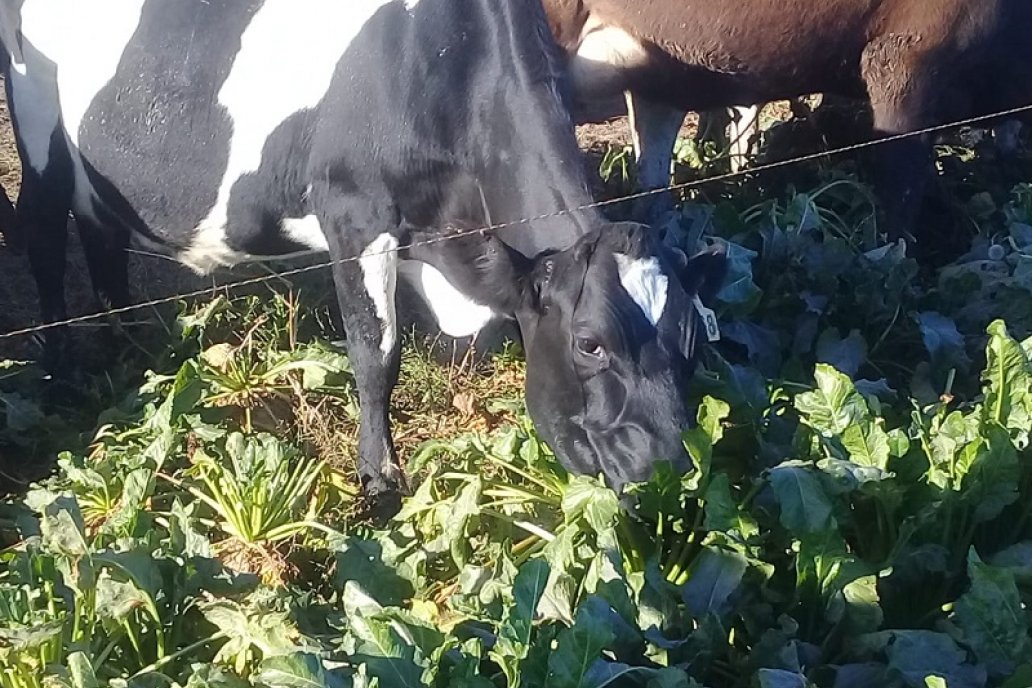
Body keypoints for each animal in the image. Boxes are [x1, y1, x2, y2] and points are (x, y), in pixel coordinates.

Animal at [0, 0, 726, 505]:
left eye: (694, 338)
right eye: (589, 344)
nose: (672, 471)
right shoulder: (353, 214)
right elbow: (376, 355)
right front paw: (379, 480)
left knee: (101, 233)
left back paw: (126, 352)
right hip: (40, 137)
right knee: (42, 235)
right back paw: (62, 372)